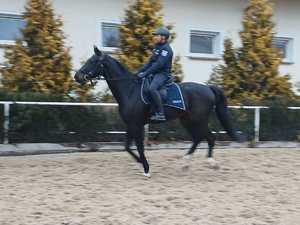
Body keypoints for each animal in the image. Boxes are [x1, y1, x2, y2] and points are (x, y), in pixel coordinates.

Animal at [74, 46, 238, 178]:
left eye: (93, 61)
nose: (77, 76)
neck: (130, 90)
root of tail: (208, 88)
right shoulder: (130, 124)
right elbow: (127, 147)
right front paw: (141, 163)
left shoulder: (136, 124)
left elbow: (139, 147)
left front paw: (146, 168)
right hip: (187, 120)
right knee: (198, 138)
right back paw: (185, 164)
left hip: (198, 120)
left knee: (209, 138)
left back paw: (212, 163)